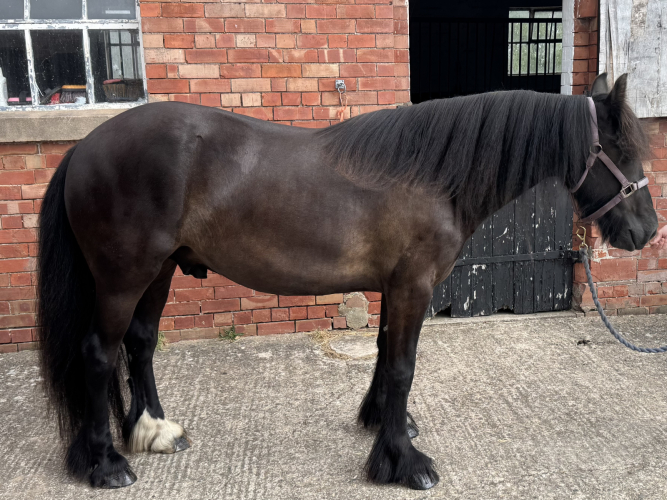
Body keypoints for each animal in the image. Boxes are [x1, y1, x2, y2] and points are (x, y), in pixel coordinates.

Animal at [37, 72, 657, 490]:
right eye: (620, 149)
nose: (646, 230)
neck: (434, 175)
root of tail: (84, 147)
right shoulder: (413, 285)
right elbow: (403, 366)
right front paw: (404, 461)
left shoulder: (395, 285)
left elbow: (385, 353)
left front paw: (383, 424)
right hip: (124, 277)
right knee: (99, 354)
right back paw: (106, 463)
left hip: (160, 270)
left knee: (140, 344)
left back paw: (153, 430)